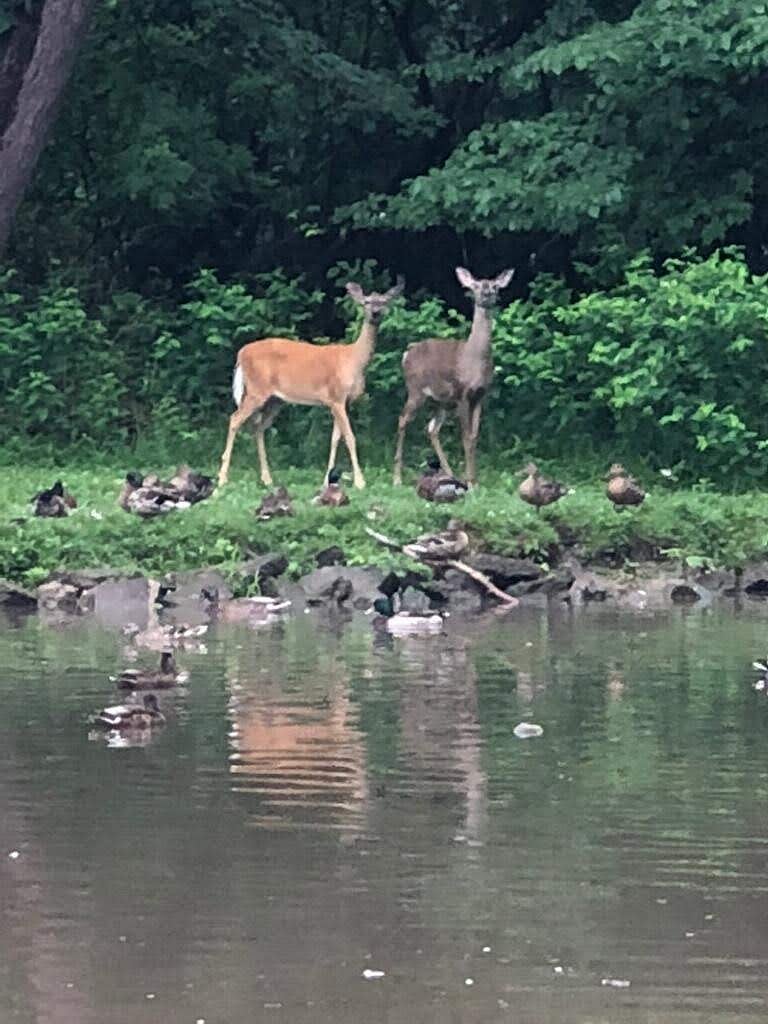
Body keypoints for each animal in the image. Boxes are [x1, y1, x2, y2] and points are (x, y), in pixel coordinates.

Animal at [217, 277, 404, 489]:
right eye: (366, 302)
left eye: (384, 302)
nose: (375, 314)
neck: (354, 360)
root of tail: (241, 353)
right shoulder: (336, 397)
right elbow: (350, 437)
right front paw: (360, 481)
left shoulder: (341, 402)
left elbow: (335, 438)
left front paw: (327, 480)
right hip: (257, 390)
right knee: (235, 419)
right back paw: (222, 478)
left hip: (275, 400)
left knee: (258, 427)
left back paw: (267, 478)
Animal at [392, 266, 514, 487]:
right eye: (476, 286)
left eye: (494, 286)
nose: (487, 294)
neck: (474, 359)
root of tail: (407, 353)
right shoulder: (463, 394)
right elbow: (466, 437)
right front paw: (472, 481)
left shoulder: (480, 396)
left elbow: (474, 436)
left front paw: (473, 480)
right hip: (416, 390)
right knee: (403, 419)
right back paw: (397, 478)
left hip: (440, 402)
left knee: (431, 429)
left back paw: (449, 474)